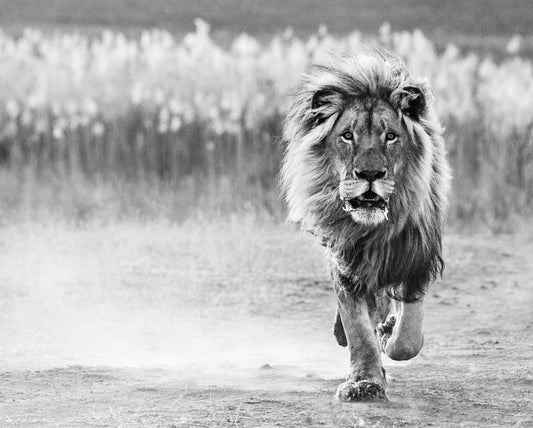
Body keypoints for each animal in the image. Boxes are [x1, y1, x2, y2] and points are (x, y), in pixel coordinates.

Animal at [280, 51, 450, 402]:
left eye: (391, 136)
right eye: (348, 136)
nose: (369, 173)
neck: (375, 230)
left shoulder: (417, 258)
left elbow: (408, 338)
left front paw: (388, 337)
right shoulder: (347, 264)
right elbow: (358, 330)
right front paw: (365, 382)